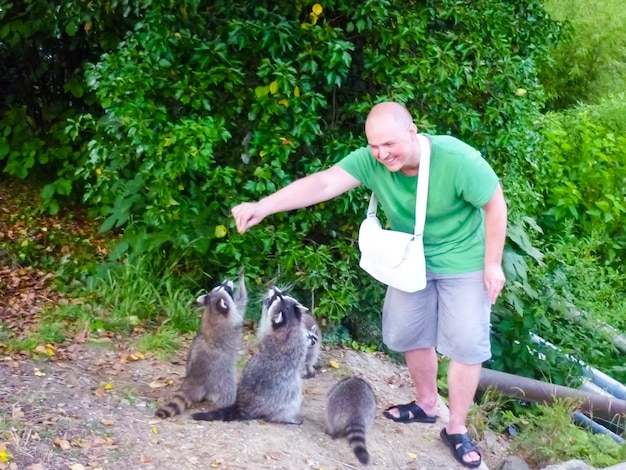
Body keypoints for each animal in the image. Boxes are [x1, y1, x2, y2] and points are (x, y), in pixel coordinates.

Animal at [154, 270, 246, 420]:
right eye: (226, 288)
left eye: (222, 286)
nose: (227, 281)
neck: (213, 308)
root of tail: (193, 378)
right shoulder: (233, 316)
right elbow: (242, 302)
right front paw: (242, 279)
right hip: (220, 375)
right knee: (227, 391)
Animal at [191, 286, 306, 426]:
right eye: (277, 297)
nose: (273, 287)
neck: (288, 323)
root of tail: (244, 405)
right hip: (283, 390)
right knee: (291, 399)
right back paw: (285, 417)